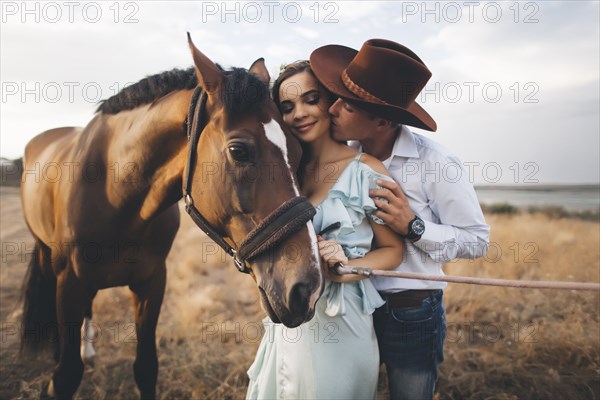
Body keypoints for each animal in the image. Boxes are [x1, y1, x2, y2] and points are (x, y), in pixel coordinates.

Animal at [18, 36, 322, 398]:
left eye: (299, 150)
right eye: (239, 151)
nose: (307, 288)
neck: (116, 196)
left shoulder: (151, 282)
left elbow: (146, 366)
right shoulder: (71, 284)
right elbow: (66, 375)